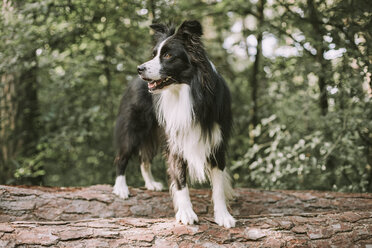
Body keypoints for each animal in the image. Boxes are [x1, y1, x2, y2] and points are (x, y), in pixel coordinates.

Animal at [113, 20, 235, 229]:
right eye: (154, 54)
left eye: (168, 55)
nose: (139, 69)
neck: (188, 91)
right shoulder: (176, 140)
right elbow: (180, 179)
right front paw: (186, 212)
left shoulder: (216, 142)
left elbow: (218, 184)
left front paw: (223, 215)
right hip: (134, 126)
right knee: (123, 155)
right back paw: (121, 187)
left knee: (144, 158)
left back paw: (150, 183)